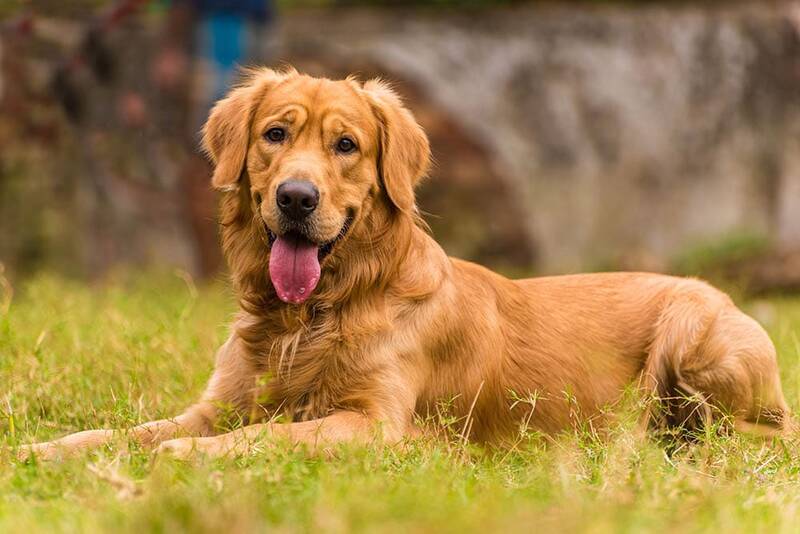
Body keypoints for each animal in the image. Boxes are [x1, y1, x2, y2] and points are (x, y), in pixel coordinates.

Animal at [21, 67, 792, 460]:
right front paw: (45, 452)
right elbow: (126, 432)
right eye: (275, 134)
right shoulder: (217, 404)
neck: (312, 315)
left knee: (758, 434)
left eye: (346, 146)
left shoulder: (374, 424)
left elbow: (258, 440)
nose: (295, 198)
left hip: (694, 327)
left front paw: (180, 463)